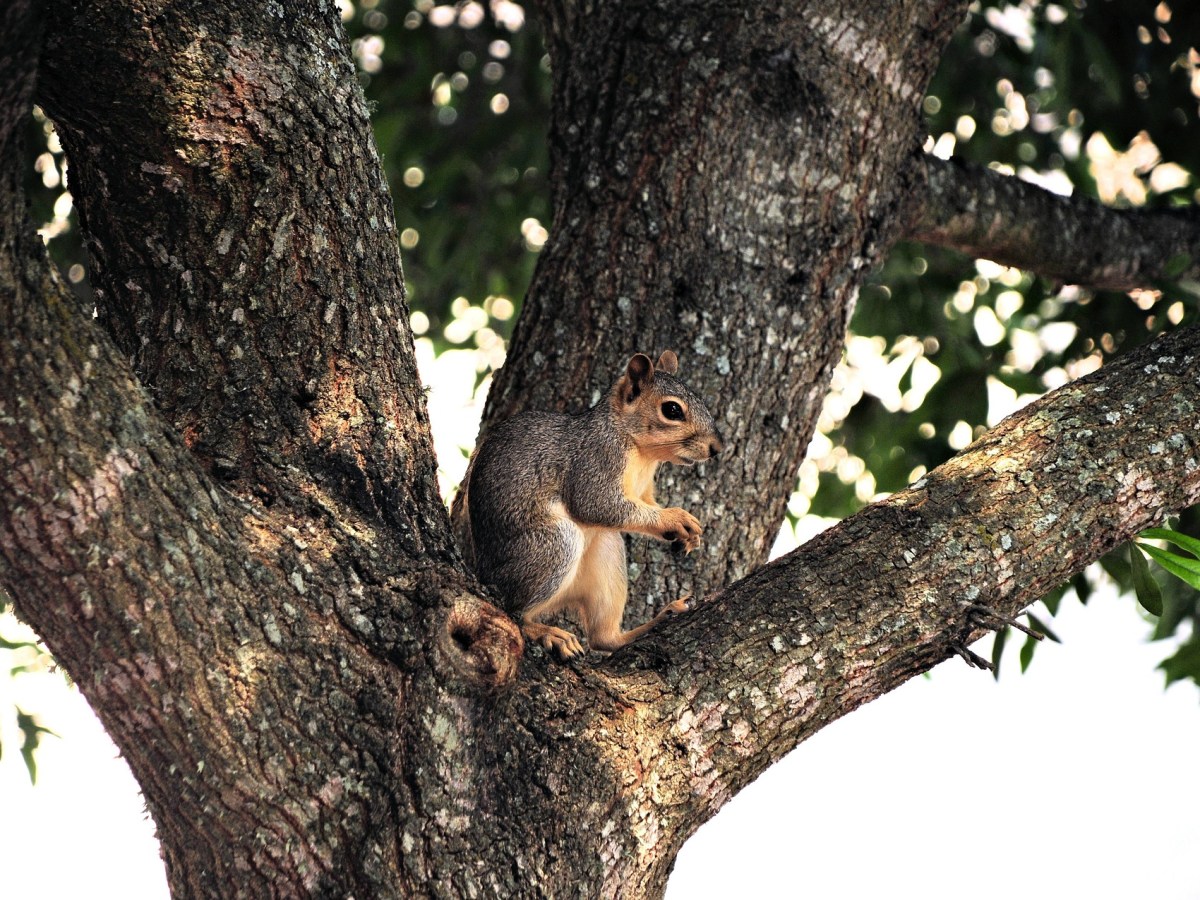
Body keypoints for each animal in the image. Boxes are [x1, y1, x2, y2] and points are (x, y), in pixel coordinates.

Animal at [453, 351, 724, 659]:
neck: (642, 453)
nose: (717, 448)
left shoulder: (643, 491)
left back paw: (656, 619)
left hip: (607, 551)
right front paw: (674, 519)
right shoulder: (595, 460)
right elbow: (596, 503)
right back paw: (547, 632)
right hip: (551, 545)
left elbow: (647, 504)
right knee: (513, 611)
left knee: (603, 639)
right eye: (672, 410)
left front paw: (689, 532)